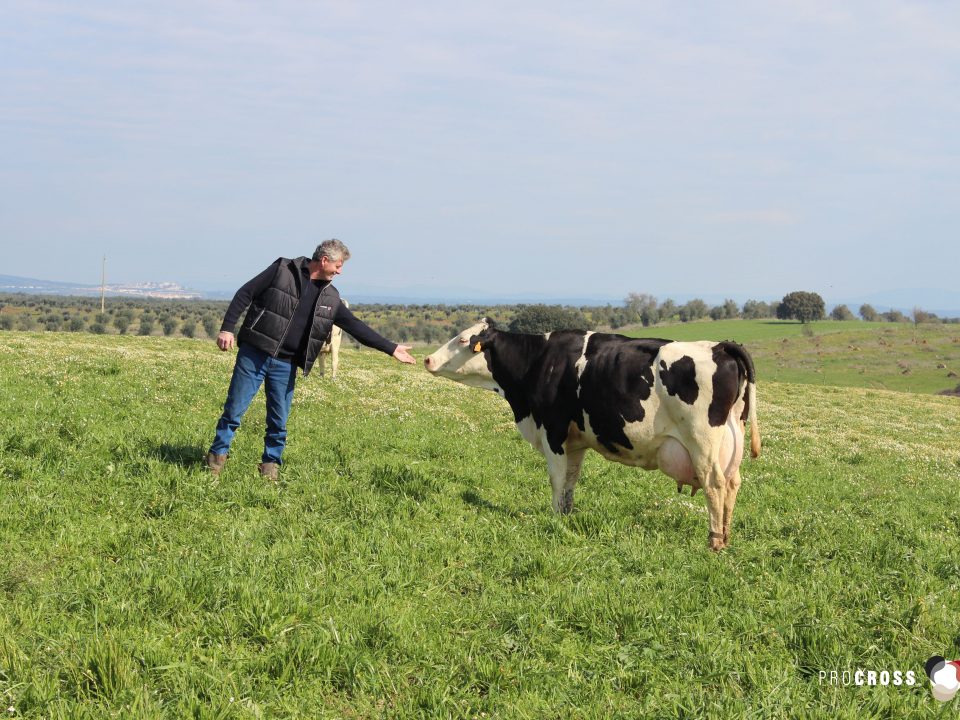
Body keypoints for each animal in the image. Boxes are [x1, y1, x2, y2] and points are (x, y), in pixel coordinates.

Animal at [424, 320, 760, 552]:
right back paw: (726, 535)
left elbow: (556, 479)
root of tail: (720, 346)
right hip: (732, 441)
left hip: (702, 442)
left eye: (463, 339)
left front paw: (554, 519)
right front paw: (566, 516)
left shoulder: (553, 432)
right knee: (733, 484)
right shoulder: (575, 442)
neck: (539, 361)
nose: (427, 359)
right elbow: (571, 481)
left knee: (714, 484)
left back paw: (714, 541)